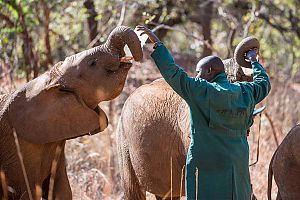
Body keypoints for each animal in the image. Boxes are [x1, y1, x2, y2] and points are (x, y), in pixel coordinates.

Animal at [0, 25, 142, 199]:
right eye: (92, 63)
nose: (135, 58)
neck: (49, 82)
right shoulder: (18, 150)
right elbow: (27, 192)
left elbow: (63, 191)